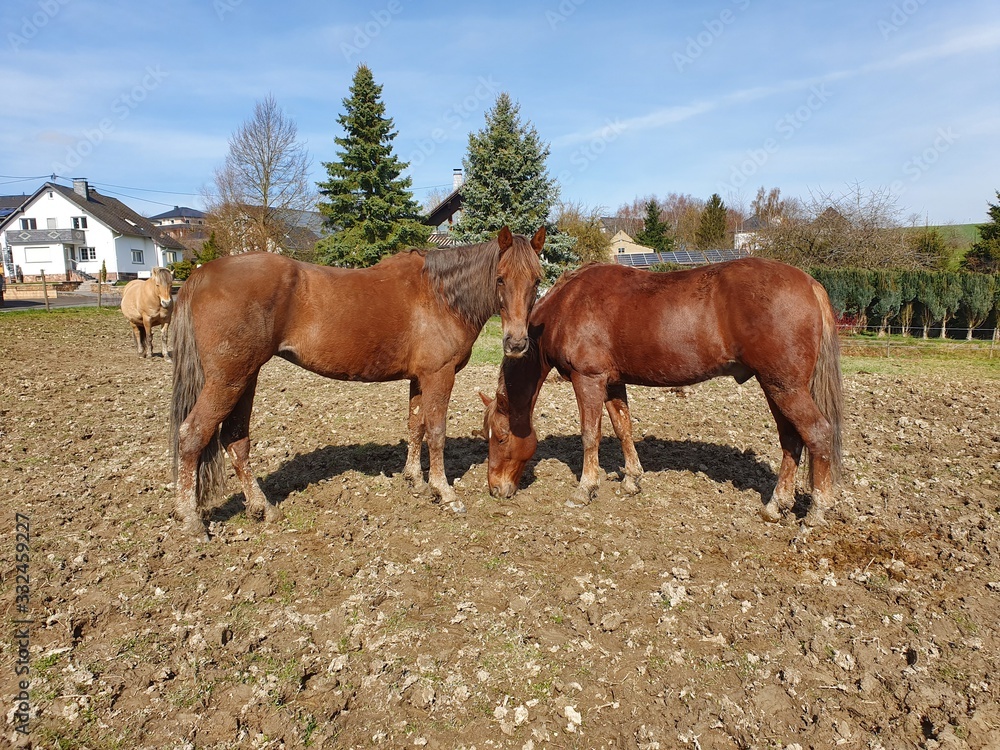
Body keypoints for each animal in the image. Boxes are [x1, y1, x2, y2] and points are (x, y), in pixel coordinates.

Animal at [171, 227, 545, 540]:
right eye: (500, 279)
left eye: (537, 280)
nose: (516, 343)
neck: (441, 296)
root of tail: (201, 275)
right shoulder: (439, 375)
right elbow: (436, 432)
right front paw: (445, 492)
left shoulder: (419, 379)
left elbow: (416, 426)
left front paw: (416, 481)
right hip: (227, 381)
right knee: (192, 435)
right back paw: (191, 521)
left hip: (245, 380)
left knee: (236, 441)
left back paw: (261, 508)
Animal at [480, 258, 844, 534]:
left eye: (500, 437)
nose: (495, 489)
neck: (566, 305)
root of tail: (810, 283)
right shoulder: (612, 383)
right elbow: (623, 428)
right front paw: (631, 479)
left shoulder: (588, 380)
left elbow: (590, 435)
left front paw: (585, 488)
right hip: (776, 387)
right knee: (791, 440)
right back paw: (776, 506)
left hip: (785, 387)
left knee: (817, 434)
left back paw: (817, 511)